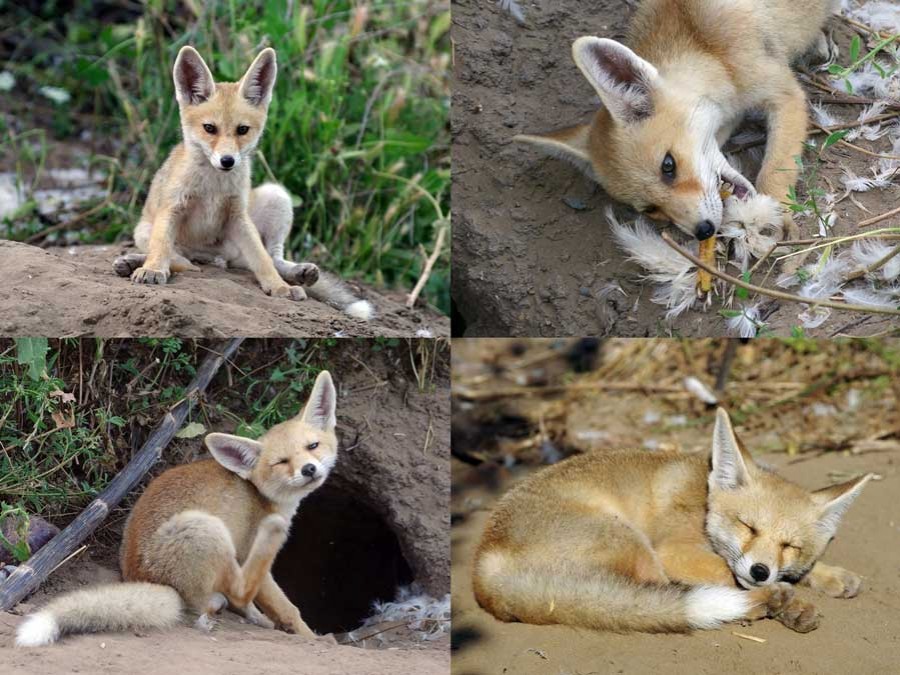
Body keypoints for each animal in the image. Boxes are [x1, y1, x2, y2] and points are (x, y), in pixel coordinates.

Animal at [15, 372, 340, 648]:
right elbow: (288, 609)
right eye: (281, 462)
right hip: (205, 528)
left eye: (313, 446)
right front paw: (313, 638)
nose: (309, 469)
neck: (264, 496)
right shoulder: (247, 552)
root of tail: (144, 577)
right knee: (237, 592)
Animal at [112, 46, 372, 322]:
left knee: (272, 256)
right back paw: (133, 262)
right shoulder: (173, 208)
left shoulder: (237, 216)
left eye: (242, 130)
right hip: (144, 230)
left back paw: (297, 274)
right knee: (176, 256)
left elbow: (262, 260)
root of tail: (221, 257)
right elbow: (161, 248)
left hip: (276, 196)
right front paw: (152, 269)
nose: (227, 161)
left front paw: (278, 287)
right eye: (209, 128)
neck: (213, 187)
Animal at [472, 410, 872, 636]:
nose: (760, 571)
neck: (703, 499)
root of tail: (483, 567)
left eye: (789, 546)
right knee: (661, 596)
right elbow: (726, 573)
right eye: (747, 526)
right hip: (633, 544)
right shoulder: (676, 551)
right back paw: (766, 606)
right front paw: (789, 598)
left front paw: (829, 575)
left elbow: (801, 571)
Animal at [516, 0, 840, 243]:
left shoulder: (784, 95)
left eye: (668, 166)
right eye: (650, 209)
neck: (709, 50)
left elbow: (775, 170)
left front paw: (767, 214)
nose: (703, 231)